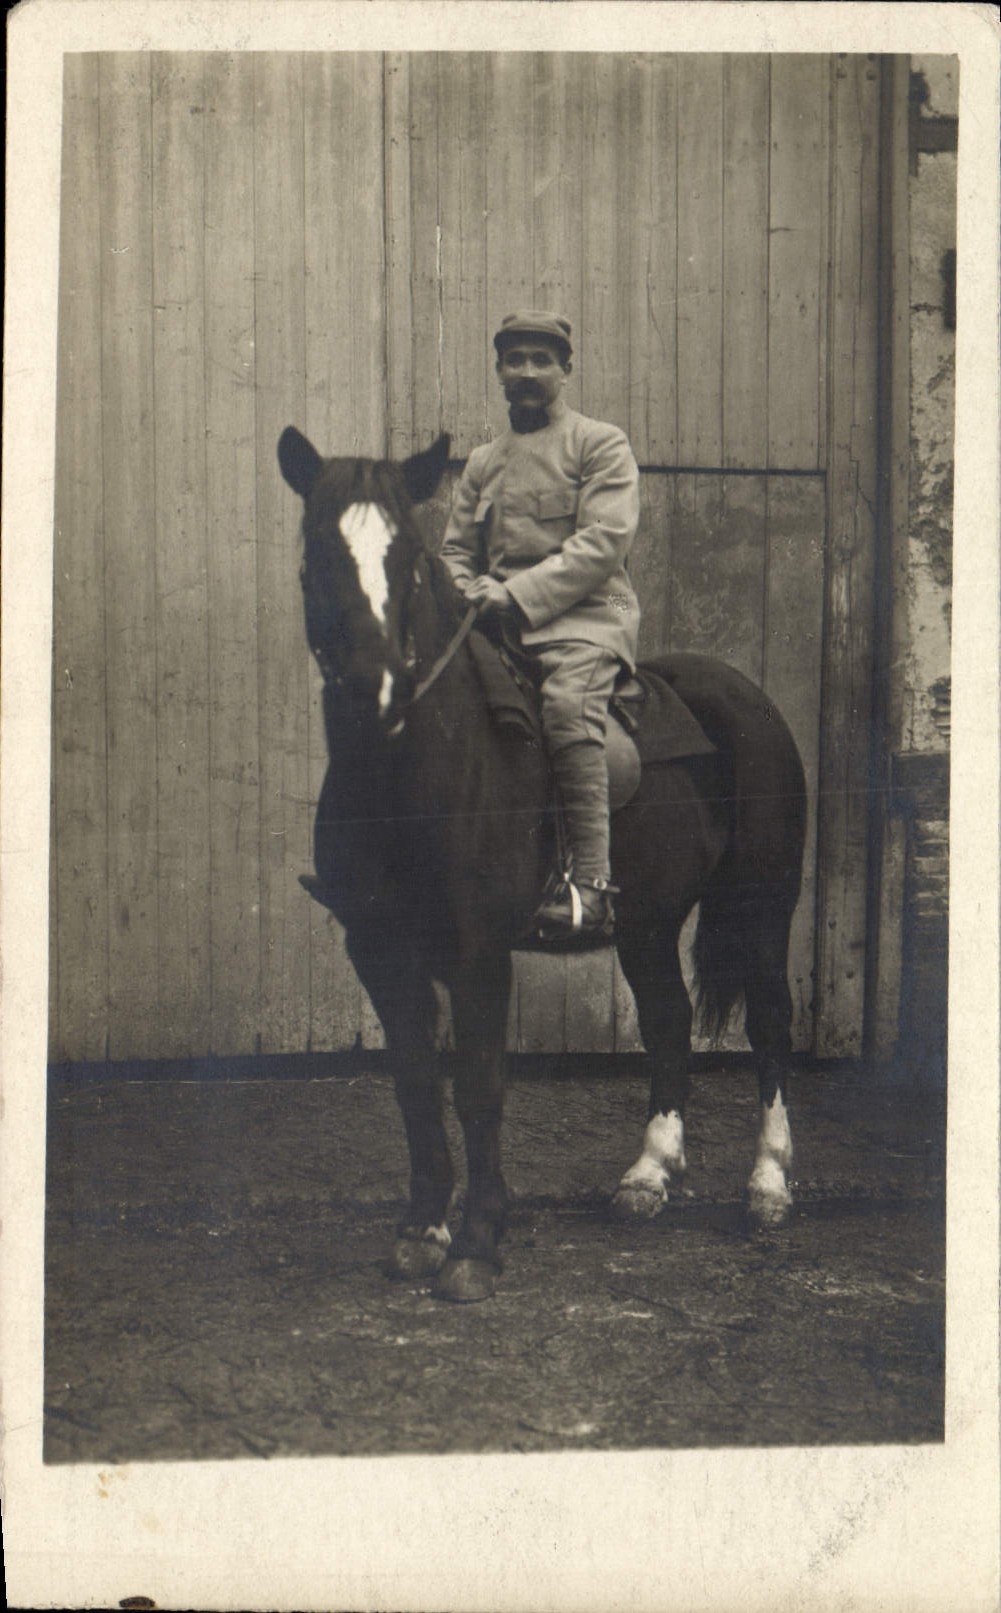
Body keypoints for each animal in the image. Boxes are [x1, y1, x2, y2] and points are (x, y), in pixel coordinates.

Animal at [278, 425, 808, 1303]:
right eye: (317, 548)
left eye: (409, 559)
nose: (372, 691)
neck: (411, 766)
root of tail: (744, 695)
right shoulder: (377, 948)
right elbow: (414, 1079)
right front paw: (420, 1230)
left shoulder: (477, 951)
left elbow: (478, 1085)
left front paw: (475, 1244)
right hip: (648, 920)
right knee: (666, 1021)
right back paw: (647, 1177)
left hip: (760, 908)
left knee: (768, 1021)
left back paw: (767, 1184)